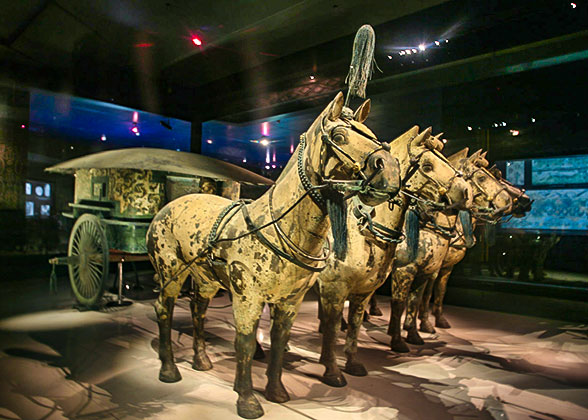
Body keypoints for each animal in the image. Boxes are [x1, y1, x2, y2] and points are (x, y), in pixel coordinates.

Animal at [149, 92, 402, 420]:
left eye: (372, 135)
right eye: (339, 136)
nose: (391, 171)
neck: (276, 227)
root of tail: (166, 208)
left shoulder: (289, 302)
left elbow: (280, 342)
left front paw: (276, 392)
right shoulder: (247, 298)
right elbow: (245, 343)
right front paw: (247, 400)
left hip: (206, 280)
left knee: (198, 310)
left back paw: (201, 360)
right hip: (171, 273)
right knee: (164, 309)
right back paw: (168, 369)